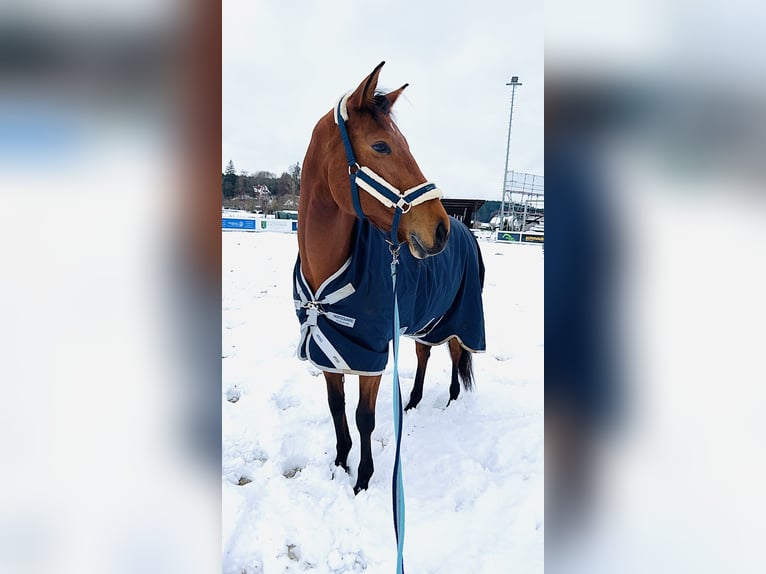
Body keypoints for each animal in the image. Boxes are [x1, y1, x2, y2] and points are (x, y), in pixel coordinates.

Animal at [298, 63, 486, 496]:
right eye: (381, 146)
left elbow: (363, 417)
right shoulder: (330, 351)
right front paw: (340, 463)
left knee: (456, 353)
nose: (438, 228)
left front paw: (363, 480)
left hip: (460, 314)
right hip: (428, 320)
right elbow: (337, 409)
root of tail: (466, 229)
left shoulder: (371, 354)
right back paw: (412, 402)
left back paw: (451, 401)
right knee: (424, 354)